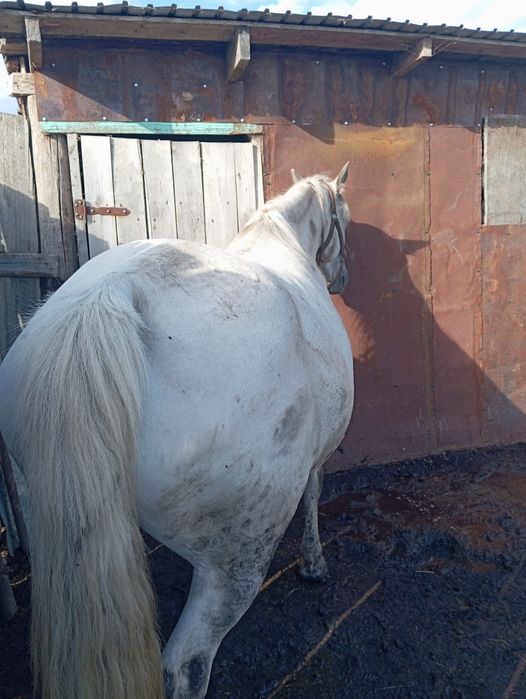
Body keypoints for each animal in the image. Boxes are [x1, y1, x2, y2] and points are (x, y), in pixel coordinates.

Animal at [0, 163, 354, 698]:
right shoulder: (316, 456)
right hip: (235, 564)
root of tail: (107, 300)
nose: (343, 278)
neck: (283, 242)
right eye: (345, 220)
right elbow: (314, 492)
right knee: (186, 666)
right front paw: (314, 565)